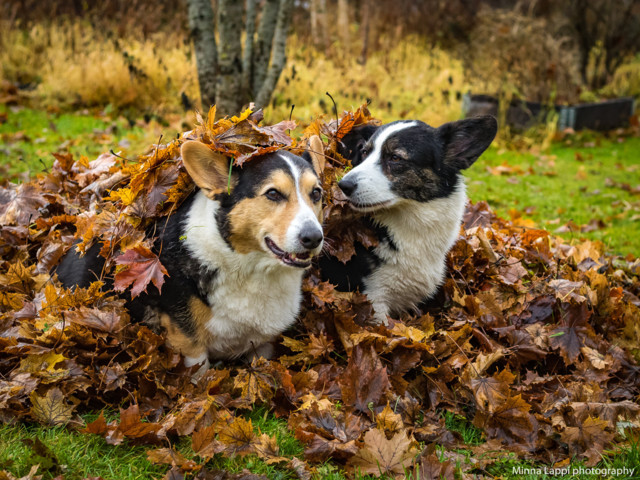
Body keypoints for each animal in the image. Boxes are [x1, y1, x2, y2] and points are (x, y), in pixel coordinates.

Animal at [57, 141, 322, 370]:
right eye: (273, 194)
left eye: (317, 193)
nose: (314, 237)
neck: (249, 268)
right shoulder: (188, 340)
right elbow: (199, 374)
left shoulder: (263, 345)